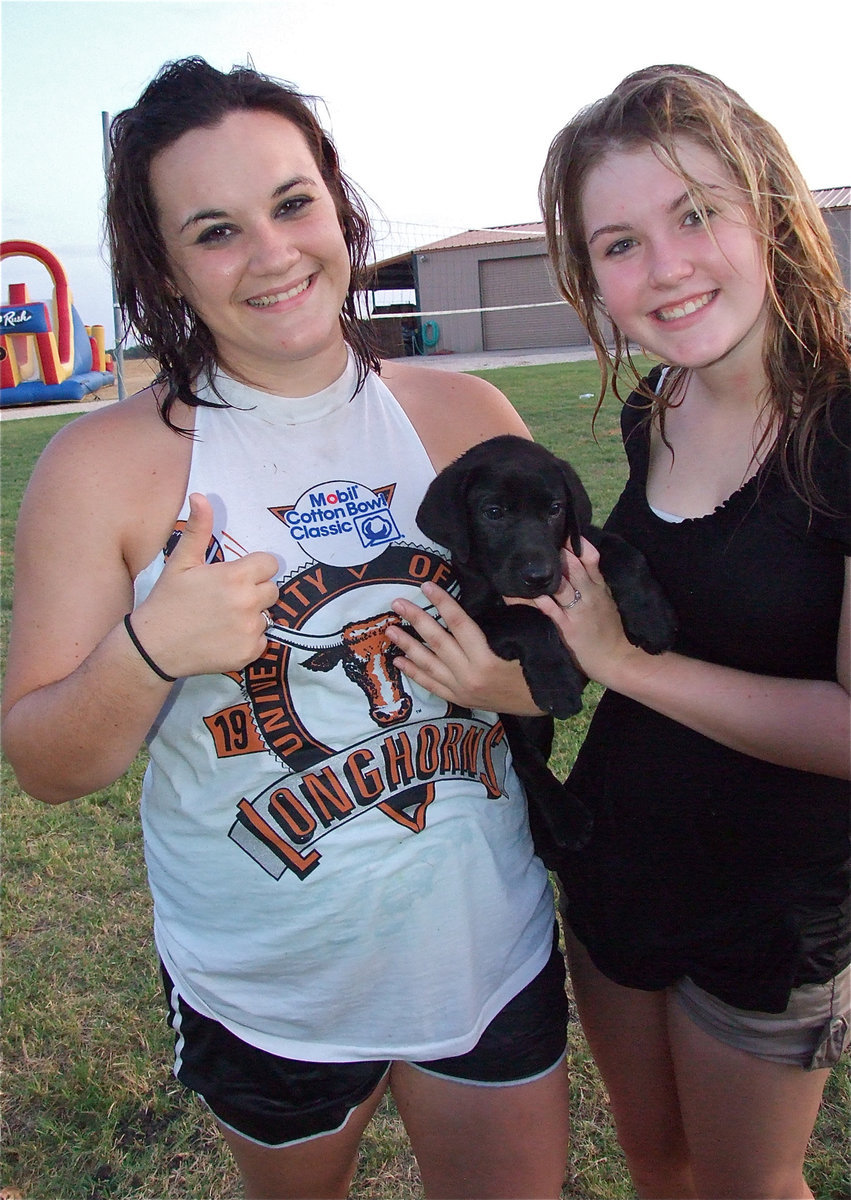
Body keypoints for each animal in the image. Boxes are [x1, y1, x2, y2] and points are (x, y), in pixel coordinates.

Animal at [415, 436, 672, 868]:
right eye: (493, 513)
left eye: (555, 509)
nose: (539, 576)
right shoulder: (467, 622)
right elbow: (528, 618)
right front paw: (558, 683)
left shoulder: (578, 545)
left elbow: (623, 551)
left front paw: (652, 618)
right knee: (527, 765)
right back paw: (567, 819)